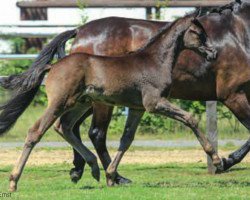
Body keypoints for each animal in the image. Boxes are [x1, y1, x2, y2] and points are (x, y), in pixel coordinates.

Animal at [0, 12, 216, 191]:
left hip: (80, 103)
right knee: (36, 131)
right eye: (198, 33)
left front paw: (112, 176)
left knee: (65, 127)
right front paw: (216, 158)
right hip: (61, 102)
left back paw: (94, 167)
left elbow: (126, 139)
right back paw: (13, 181)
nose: (213, 53)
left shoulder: (137, 108)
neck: (155, 61)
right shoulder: (154, 103)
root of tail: (52, 66)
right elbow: (190, 118)